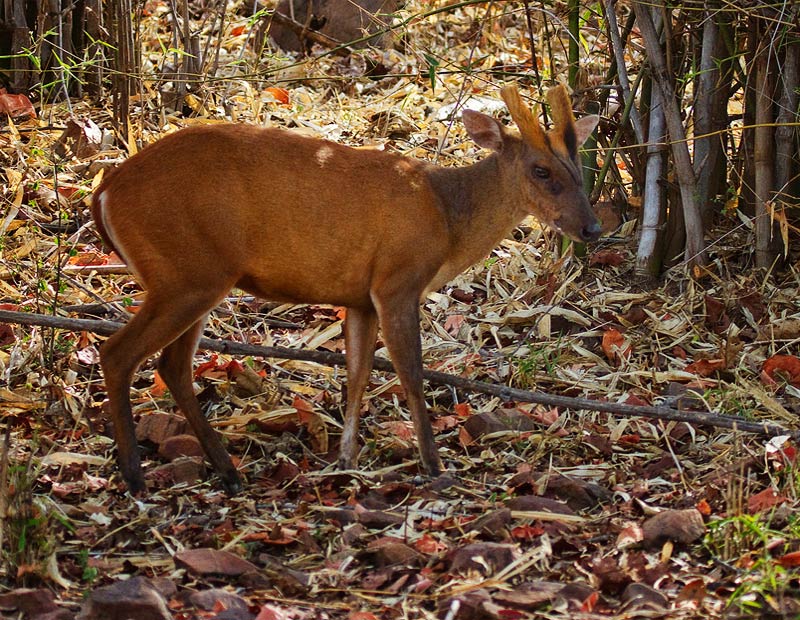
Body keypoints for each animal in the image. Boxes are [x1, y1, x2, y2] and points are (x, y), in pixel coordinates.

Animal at [92, 86, 600, 494]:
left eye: (579, 168)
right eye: (540, 170)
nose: (592, 227)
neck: (447, 215)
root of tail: (105, 191)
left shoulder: (360, 297)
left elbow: (357, 374)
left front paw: (346, 459)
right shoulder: (397, 279)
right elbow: (410, 372)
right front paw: (434, 466)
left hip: (194, 277)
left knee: (171, 366)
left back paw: (228, 472)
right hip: (186, 273)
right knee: (117, 353)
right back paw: (135, 476)